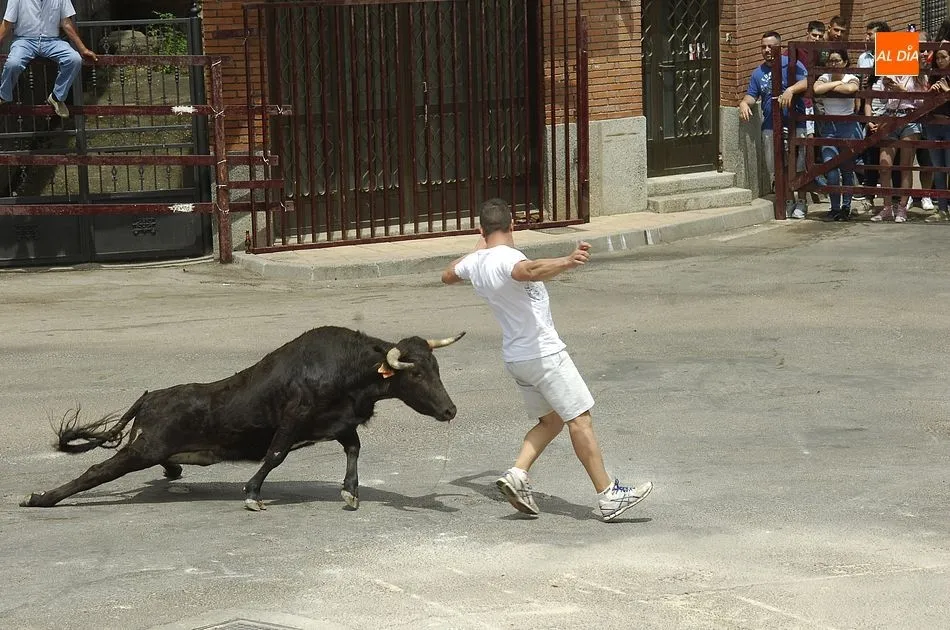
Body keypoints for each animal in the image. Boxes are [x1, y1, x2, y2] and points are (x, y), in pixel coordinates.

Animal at [20, 326, 464, 511]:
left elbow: (354, 449)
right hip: (144, 448)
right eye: (417, 374)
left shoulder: (340, 425)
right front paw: (251, 494)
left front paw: (350, 492)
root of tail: (150, 397)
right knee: (96, 471)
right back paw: (39, 498)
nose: (450, 410)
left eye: (437, 366)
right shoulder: (292, 420)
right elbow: (274, 455)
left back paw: (173, 473)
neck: (351, 370)